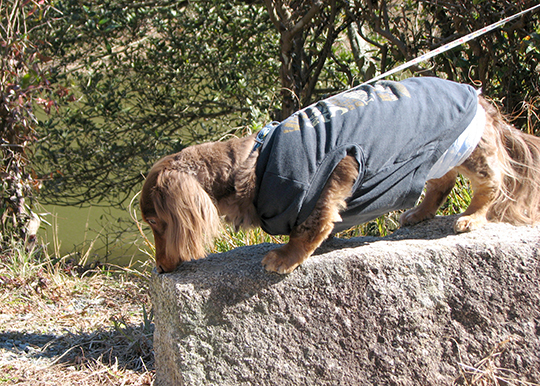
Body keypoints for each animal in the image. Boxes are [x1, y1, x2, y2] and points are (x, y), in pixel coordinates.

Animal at [140, 78, 540, 272]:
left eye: (158, 224)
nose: (161, 268)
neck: (255, 162)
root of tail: (478, 96)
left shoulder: (336, 170)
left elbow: (311, 227)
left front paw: (285, 257)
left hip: (466, 149)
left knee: (492, 183)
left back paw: (472, 216)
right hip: (440, 154)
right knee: (441, 183)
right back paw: (419, 213)